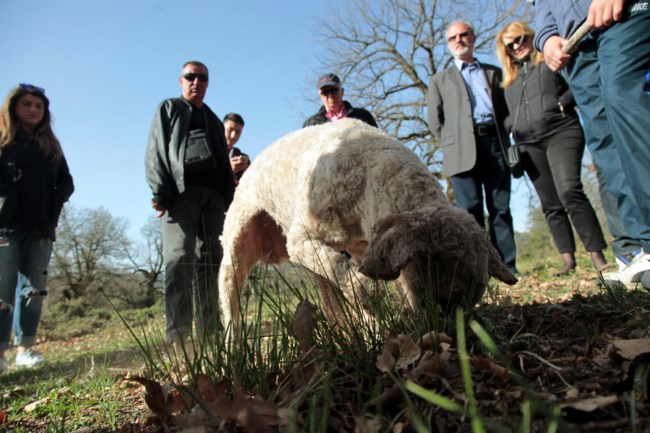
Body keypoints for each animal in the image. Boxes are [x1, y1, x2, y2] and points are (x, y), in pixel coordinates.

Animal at [218, 118, 516, 328]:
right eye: (444, 293)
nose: (446, 327)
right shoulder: (301, 239)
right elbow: (344, 271)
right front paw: (375, 306)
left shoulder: (365, 245)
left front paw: (375, 326)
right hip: (237, 241)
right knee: (230, 296)